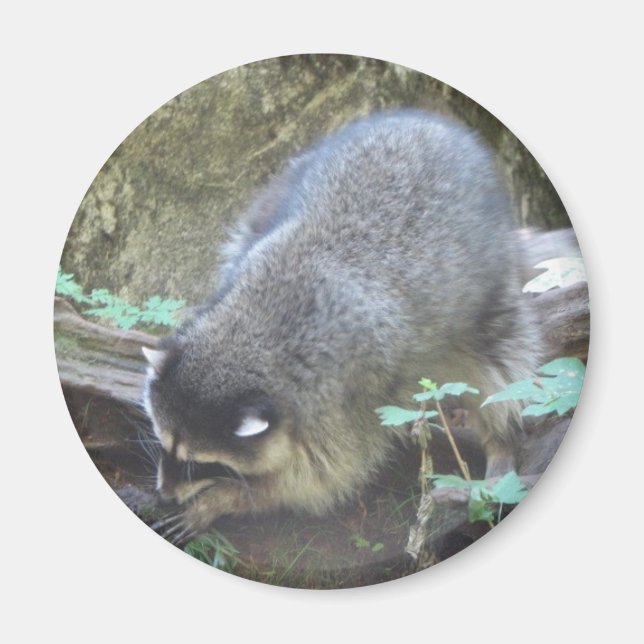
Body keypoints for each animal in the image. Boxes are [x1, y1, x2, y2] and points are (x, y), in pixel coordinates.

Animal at [142, 110, 539, 540]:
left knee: (498, 372)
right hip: (281, 188)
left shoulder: (347, 399)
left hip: (491, 283)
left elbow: (320, 481)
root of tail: (430, 122)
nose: (164, 495)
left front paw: (222, 500)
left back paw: (501, 444)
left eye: (202, 463)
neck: (251, 332)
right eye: (164, 444)